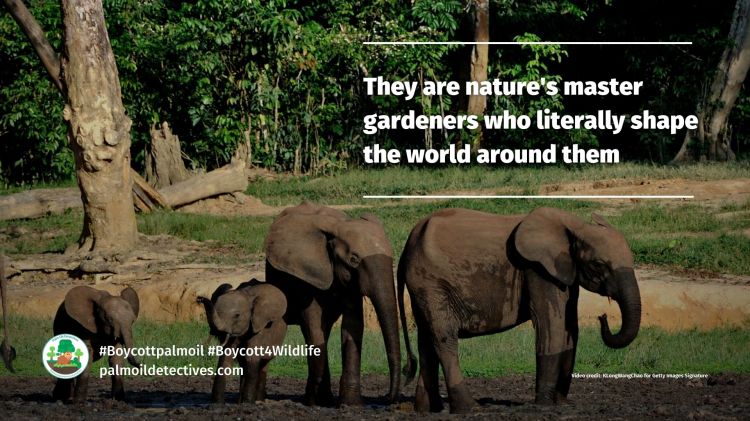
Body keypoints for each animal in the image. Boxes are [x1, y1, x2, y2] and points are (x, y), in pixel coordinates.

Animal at [264, 201, 401, 406]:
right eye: (354, 260)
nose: (385, 398)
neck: (337, 228)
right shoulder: (308, 272)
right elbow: (313, 323)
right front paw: (315, 404)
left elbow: (352, 325)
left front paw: (351, 405)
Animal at [398, 207, 641, 413]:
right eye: (598, 265)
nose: (603, 317)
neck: (575, 226)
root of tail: (409, 240)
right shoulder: (537, 269)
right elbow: (551, 327)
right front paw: (544, 405)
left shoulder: (563, 273)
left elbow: (570, 330)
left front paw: (561, 403)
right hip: (431, 283)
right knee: (444, 339)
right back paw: (470, 409)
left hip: (424, 287)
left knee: (427, 341)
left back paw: (427, 410)